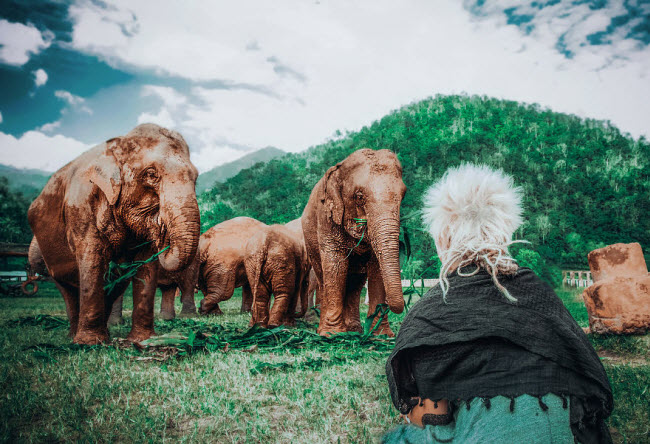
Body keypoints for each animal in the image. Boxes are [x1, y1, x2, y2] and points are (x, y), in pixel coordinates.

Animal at [27, 123, 199, 346]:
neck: (117, 145)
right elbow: (92, 259)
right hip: (48, 255)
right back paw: (75, 338)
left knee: (114, 284)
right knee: (67, 288)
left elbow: (146, 266)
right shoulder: (80, 208)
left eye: (196, 178)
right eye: (151, 174)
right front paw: (89, 343)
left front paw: (142, 340)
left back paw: (104, 335)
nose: (163, 230)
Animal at [300, 149, 402, 336]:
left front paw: (381, 336)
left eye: (403, 194)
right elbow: (336, 265)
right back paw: (325, 330)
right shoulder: (326, 217)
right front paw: (332, 334)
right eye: (359, 196)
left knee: (355, 283)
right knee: (323, 278)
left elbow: (376, 268)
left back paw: (354, 330)